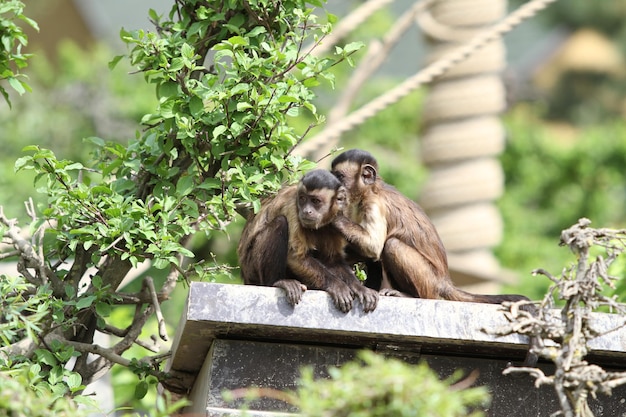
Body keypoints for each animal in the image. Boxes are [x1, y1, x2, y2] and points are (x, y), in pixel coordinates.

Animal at [236, 169, 378, 312]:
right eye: (302, 199)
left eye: (315, 201)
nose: (306, 211)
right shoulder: (293, 206)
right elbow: (296, 257)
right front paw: (338, 286)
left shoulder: (337, 215)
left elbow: (332, 260)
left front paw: (359, 288)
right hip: (252, 268)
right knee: (280, 222)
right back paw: (277, 282)